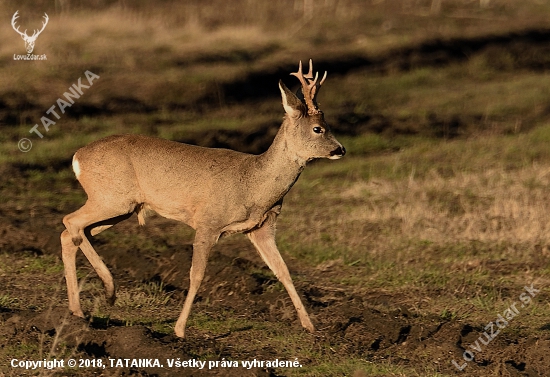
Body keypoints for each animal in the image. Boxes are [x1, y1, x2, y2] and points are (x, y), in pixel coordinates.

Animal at [60, 60, 344, 336]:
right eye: (318, 129)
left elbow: (283, 271)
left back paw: (79, 310)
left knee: (72, 233)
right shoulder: (208, 221)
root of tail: (77, 157)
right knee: (70, 222)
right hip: (112, 198)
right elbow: (196, 275)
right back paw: (107, 291)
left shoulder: (262, 228)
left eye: (327, 126)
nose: (340, 149)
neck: (253, 184)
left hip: (120, 207)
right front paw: (179, 329)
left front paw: (310, 327)